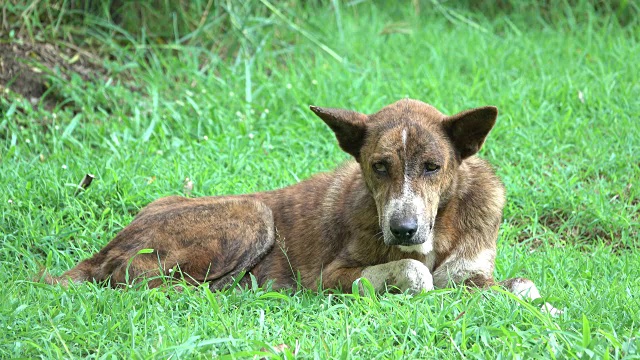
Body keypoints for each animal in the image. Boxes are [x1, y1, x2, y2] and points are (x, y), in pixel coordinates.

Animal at [42, 99, 556, 316]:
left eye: (433, 167)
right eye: (379, 166)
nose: (404, 230)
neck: (441, 224)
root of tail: (106, 246)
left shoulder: (472, 269)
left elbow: (520, 285)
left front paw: (534, 304)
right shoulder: (330, 277)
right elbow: (416, 275)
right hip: (253, 214)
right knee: (141, 280)